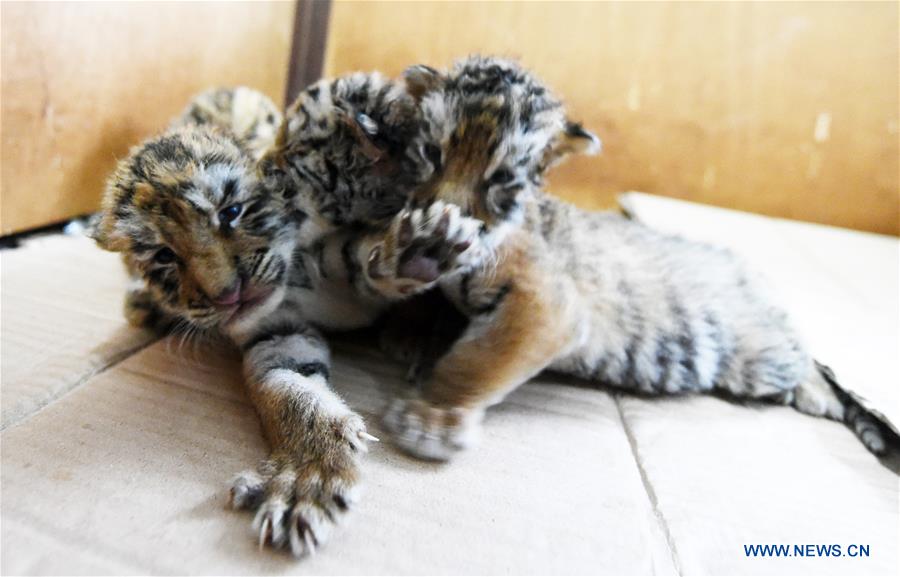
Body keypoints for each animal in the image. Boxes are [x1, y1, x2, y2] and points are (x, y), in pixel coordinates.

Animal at [91, 84, 488, 557]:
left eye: (231, 212)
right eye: (164, 255)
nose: (228, 294)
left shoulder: (342, 256)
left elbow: (367, 257)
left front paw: (421, 247)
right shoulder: (275, 334)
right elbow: (292, 394)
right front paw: (307, 479)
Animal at [358, 56, 894, 462]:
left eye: (502, 178)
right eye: (433, 153)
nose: (440, 214)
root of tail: (752, 270)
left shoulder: (546, 305)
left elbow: (478, 358)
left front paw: (433, 417)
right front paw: (410, 304)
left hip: (763, 355)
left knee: (816, 365)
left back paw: (822, 398)